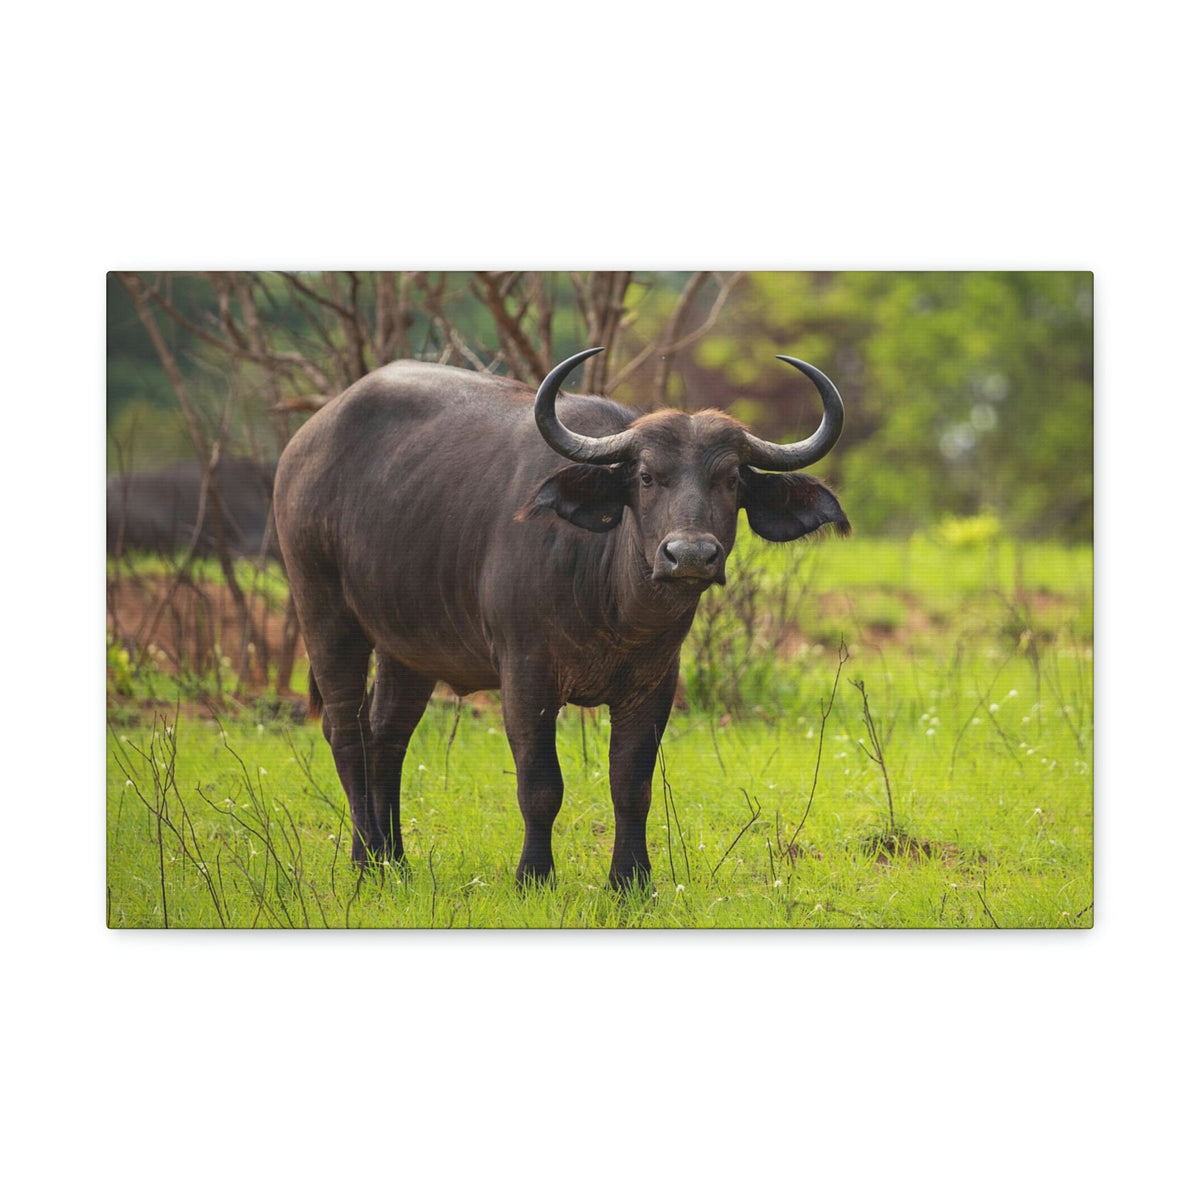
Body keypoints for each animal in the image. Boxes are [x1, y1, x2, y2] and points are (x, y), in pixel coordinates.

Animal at [273, 347, 849, 888]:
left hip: (407, 649)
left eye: (729, 480)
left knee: (386, 735)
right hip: (324, 613)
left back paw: (392, 860)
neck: (614, 609)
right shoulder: (526, 677)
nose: (689, 555)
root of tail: (302, 444)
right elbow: (540, 786)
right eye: (646, 477)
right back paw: (367, 858)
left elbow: (632, 786)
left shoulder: (655, 684)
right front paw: (533, 875)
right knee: (346, 731)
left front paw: (630, 880)